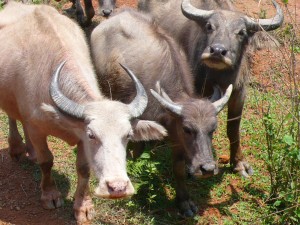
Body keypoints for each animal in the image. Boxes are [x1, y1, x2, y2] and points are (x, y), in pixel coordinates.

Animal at [0, 2, 166, 223]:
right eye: (92, 135)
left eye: (128, 135)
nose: (118, 187)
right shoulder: (39, 129)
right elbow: (46, 161)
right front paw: (50, 195)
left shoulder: (79, 139)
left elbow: (84, 169)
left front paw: (83, 207)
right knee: (12, 117)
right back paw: (17, 148)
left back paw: (31, 152)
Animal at [90, 8, 233, 216]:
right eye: (188, 129)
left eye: (212, 129)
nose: (207, 168)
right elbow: (137, 150)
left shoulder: (177, 140)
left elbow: (179, 168)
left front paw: (184, 201)